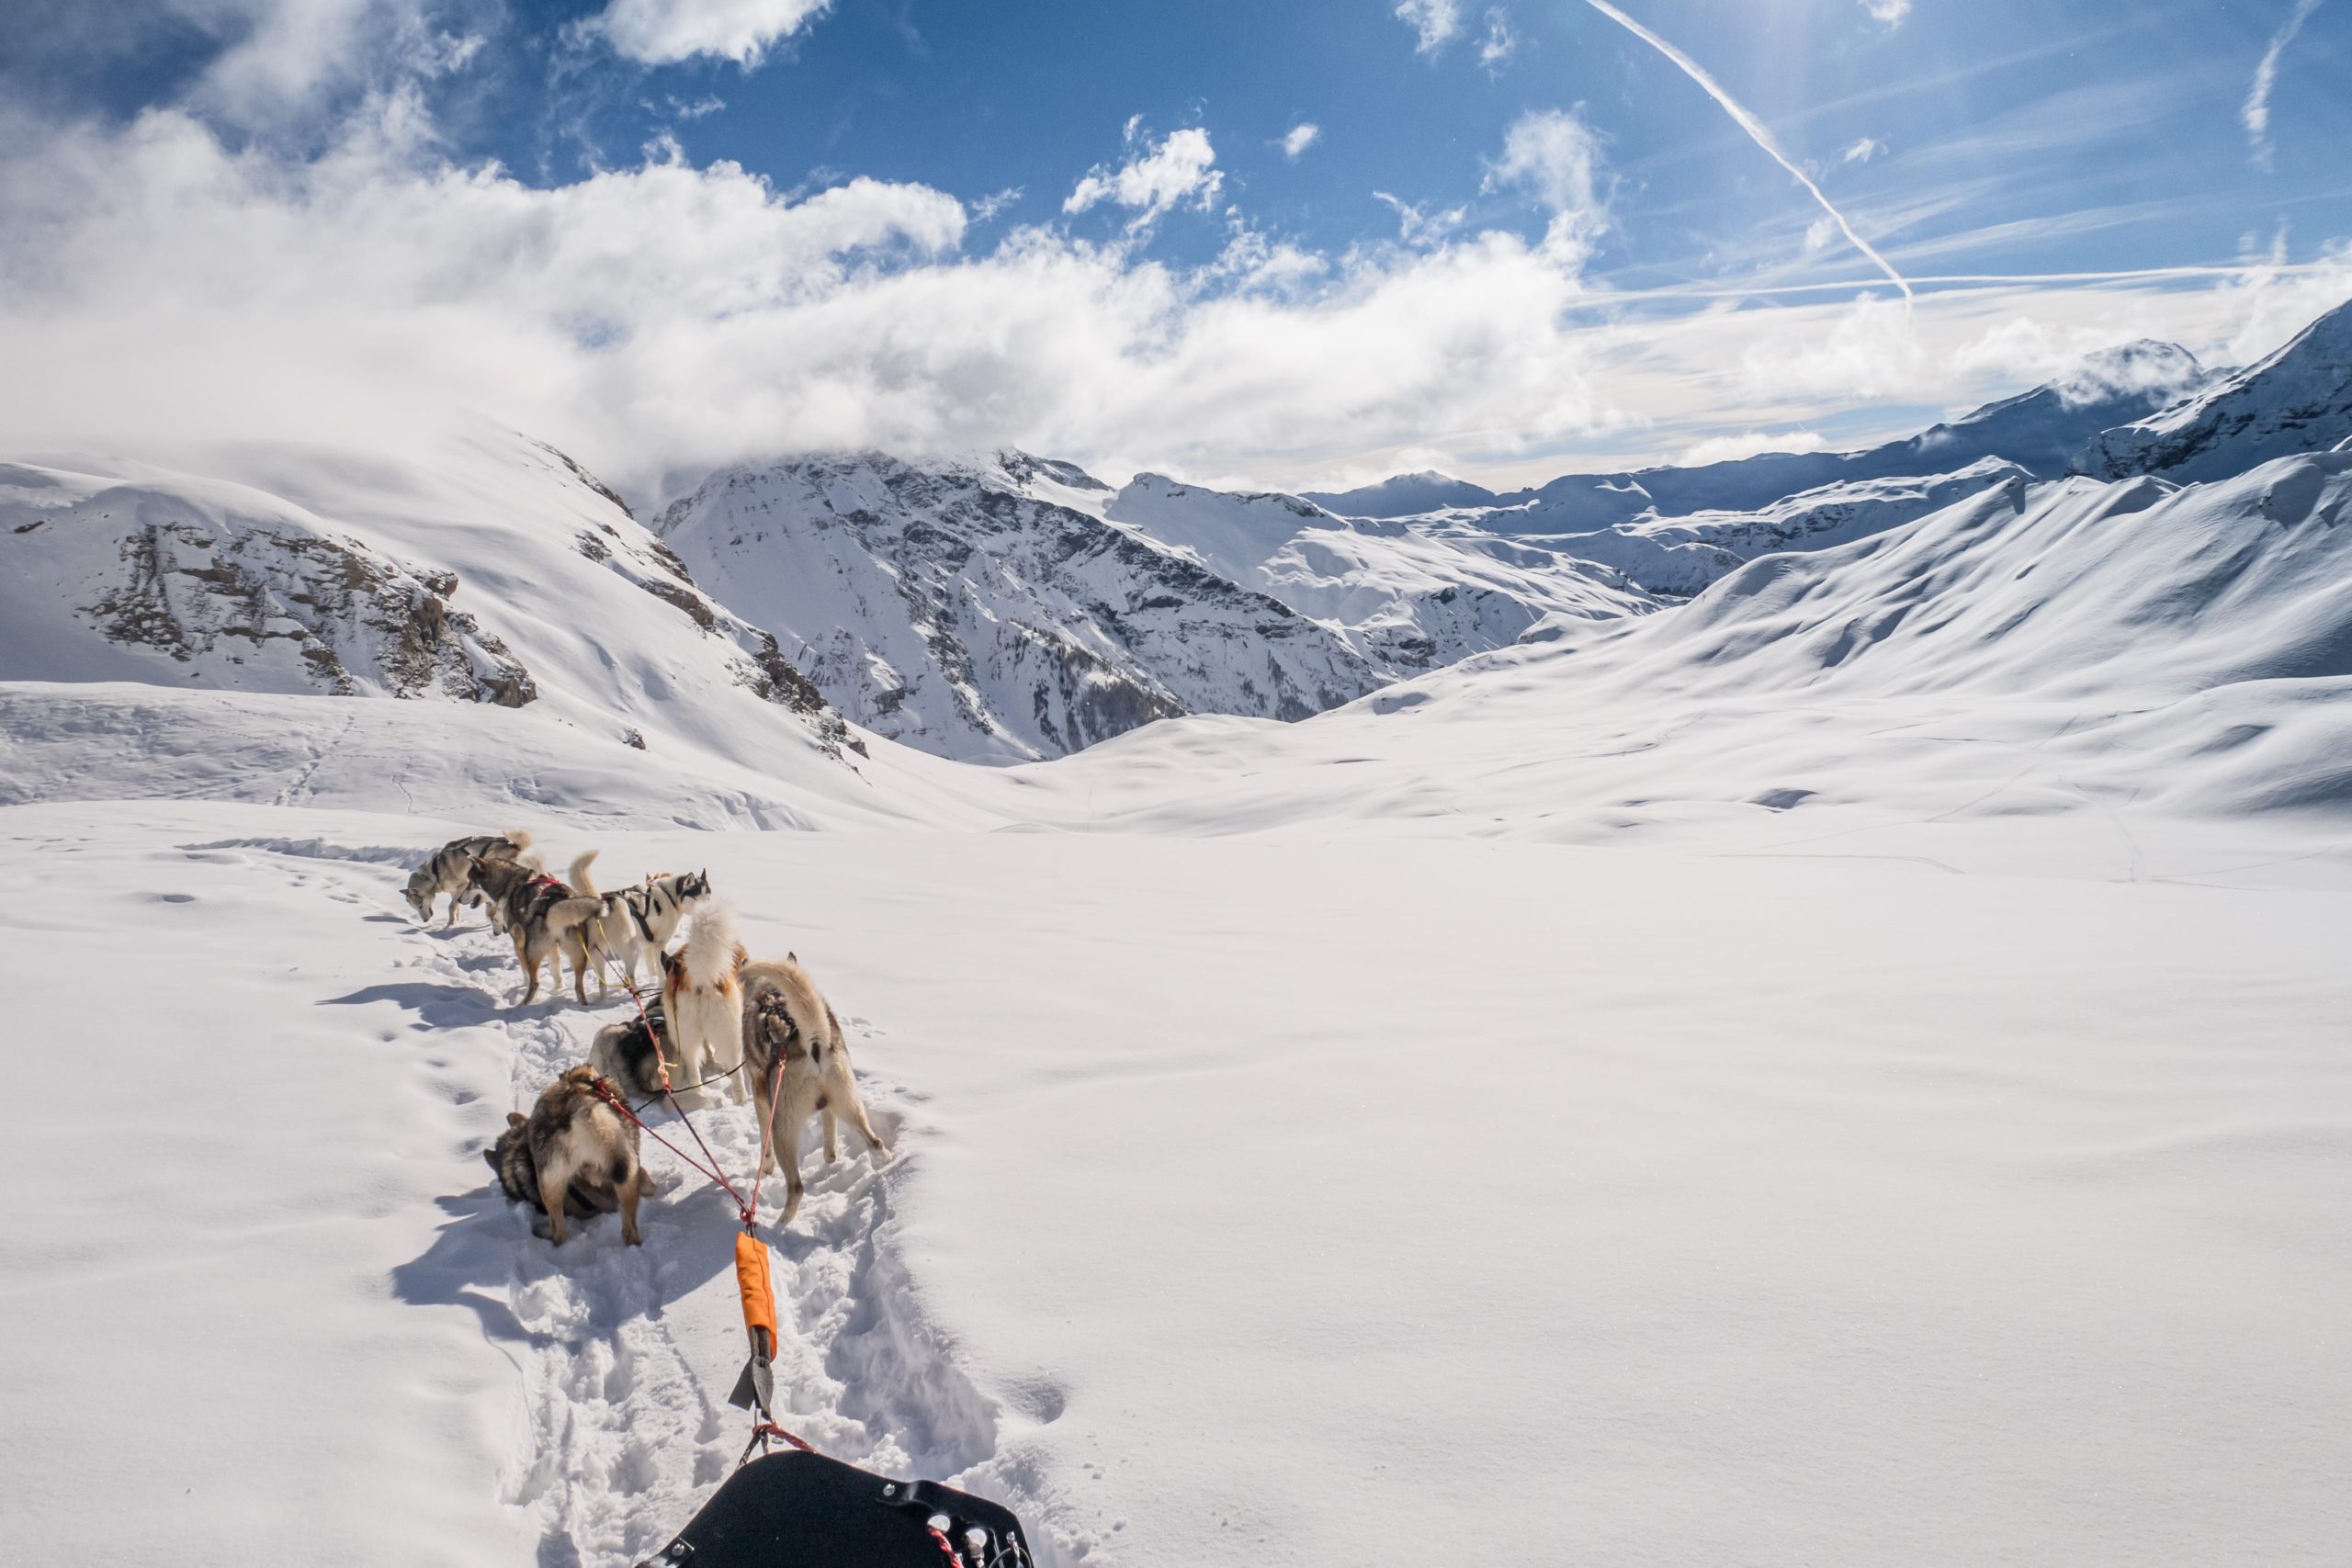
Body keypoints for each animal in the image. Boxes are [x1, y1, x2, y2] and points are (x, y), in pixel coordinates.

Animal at [406, 827, 536, 926]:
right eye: (415, 907)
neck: (436, 871)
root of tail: (515, 846)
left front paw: (450, 925)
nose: (424, 920)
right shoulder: (454, 891)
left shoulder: (463, 885)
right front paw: (456, 920)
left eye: (420, 905)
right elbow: (456, 907)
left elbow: (451, 906)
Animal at [658, 902, 748, 1109]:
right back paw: (741, 1099)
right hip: (730, 1032)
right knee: (736, 1072)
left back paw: (697, 1094)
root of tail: (697, 977)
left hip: (685, 1035)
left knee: (694, 1071)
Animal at [738, 959, 884, 1222]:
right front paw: (830, 1157)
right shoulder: (828, 1109)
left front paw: (767, 1168)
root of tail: (813, 1043)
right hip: (847, 1103)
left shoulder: (761, 1096)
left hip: (783, 1128)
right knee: (875, 1142)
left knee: (796, 1186)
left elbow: (765, 1146)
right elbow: (829, 1136)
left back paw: (782, 1222)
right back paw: (882, 1162)